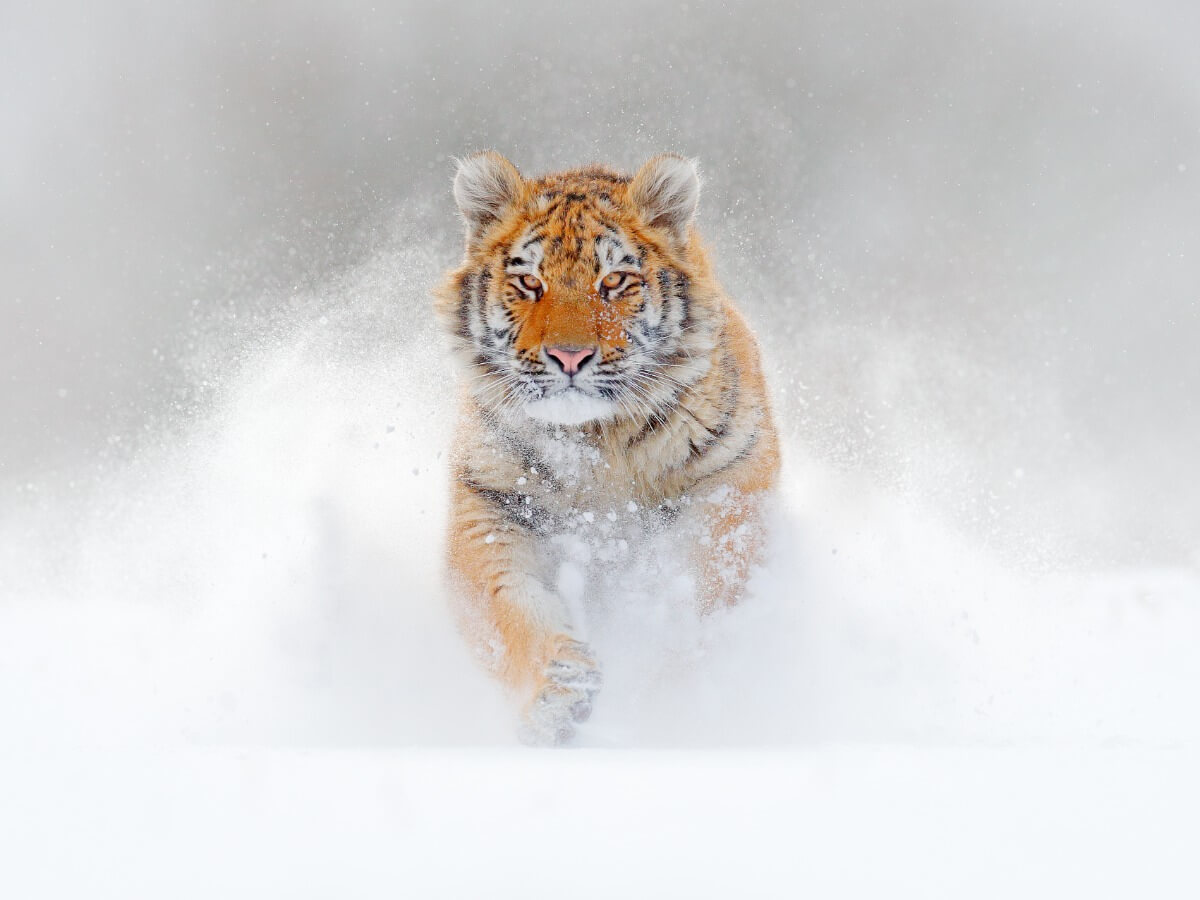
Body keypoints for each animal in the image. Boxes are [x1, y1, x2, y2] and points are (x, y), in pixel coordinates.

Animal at [433, 152, 780, 745]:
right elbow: (510, 607)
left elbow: (702, 589)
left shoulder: (733, 480)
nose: (569, 357)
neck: (597, 442)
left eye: (614, 279)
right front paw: (558, 695)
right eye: (529, 281)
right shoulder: (489, 504)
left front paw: (663, 678)